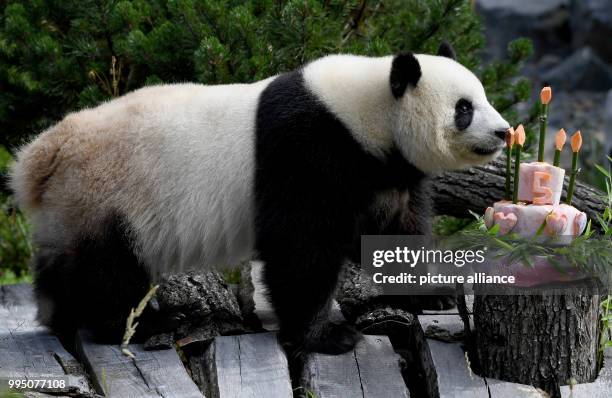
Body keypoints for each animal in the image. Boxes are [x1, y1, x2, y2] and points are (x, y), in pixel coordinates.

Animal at [9, 44, 510, 354]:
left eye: (483, 97)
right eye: (464, 108)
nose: (504, 132)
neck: (367, 112)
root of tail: (42, 154)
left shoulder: (382, 169)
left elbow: (393, 232)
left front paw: (433, 294)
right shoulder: (308, 147)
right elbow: (301, 247)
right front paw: (328, 336)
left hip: (73, 205)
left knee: (66, 264)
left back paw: (62, 318)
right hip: (109, 192)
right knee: (108, 270)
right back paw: (140, 324)